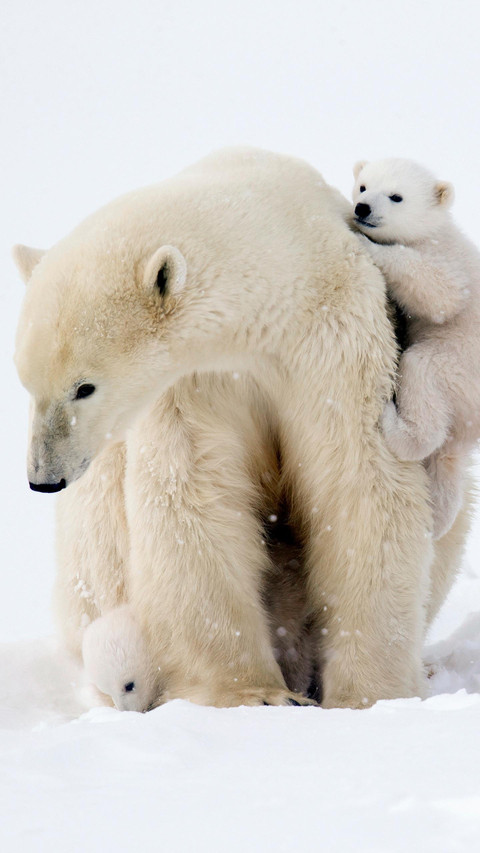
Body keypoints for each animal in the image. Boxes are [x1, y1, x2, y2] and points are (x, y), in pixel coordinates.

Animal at [14, 146, 452, 709]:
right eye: (25, 382)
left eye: (83, 387)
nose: (43, 479)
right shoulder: (197, 382)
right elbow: (193, 495)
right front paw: (256, 693)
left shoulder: (333, 342)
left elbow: (357, 483)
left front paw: (367, 696)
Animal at [352, 158, 480, 539]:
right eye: (363, 186)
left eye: (396, 196)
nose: (362, 209)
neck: (436, 227)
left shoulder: (449, 259)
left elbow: (439, 290)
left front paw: (369, 244)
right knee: (445, 463)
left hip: (457, 365)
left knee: (421, 372)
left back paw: (392, 420)